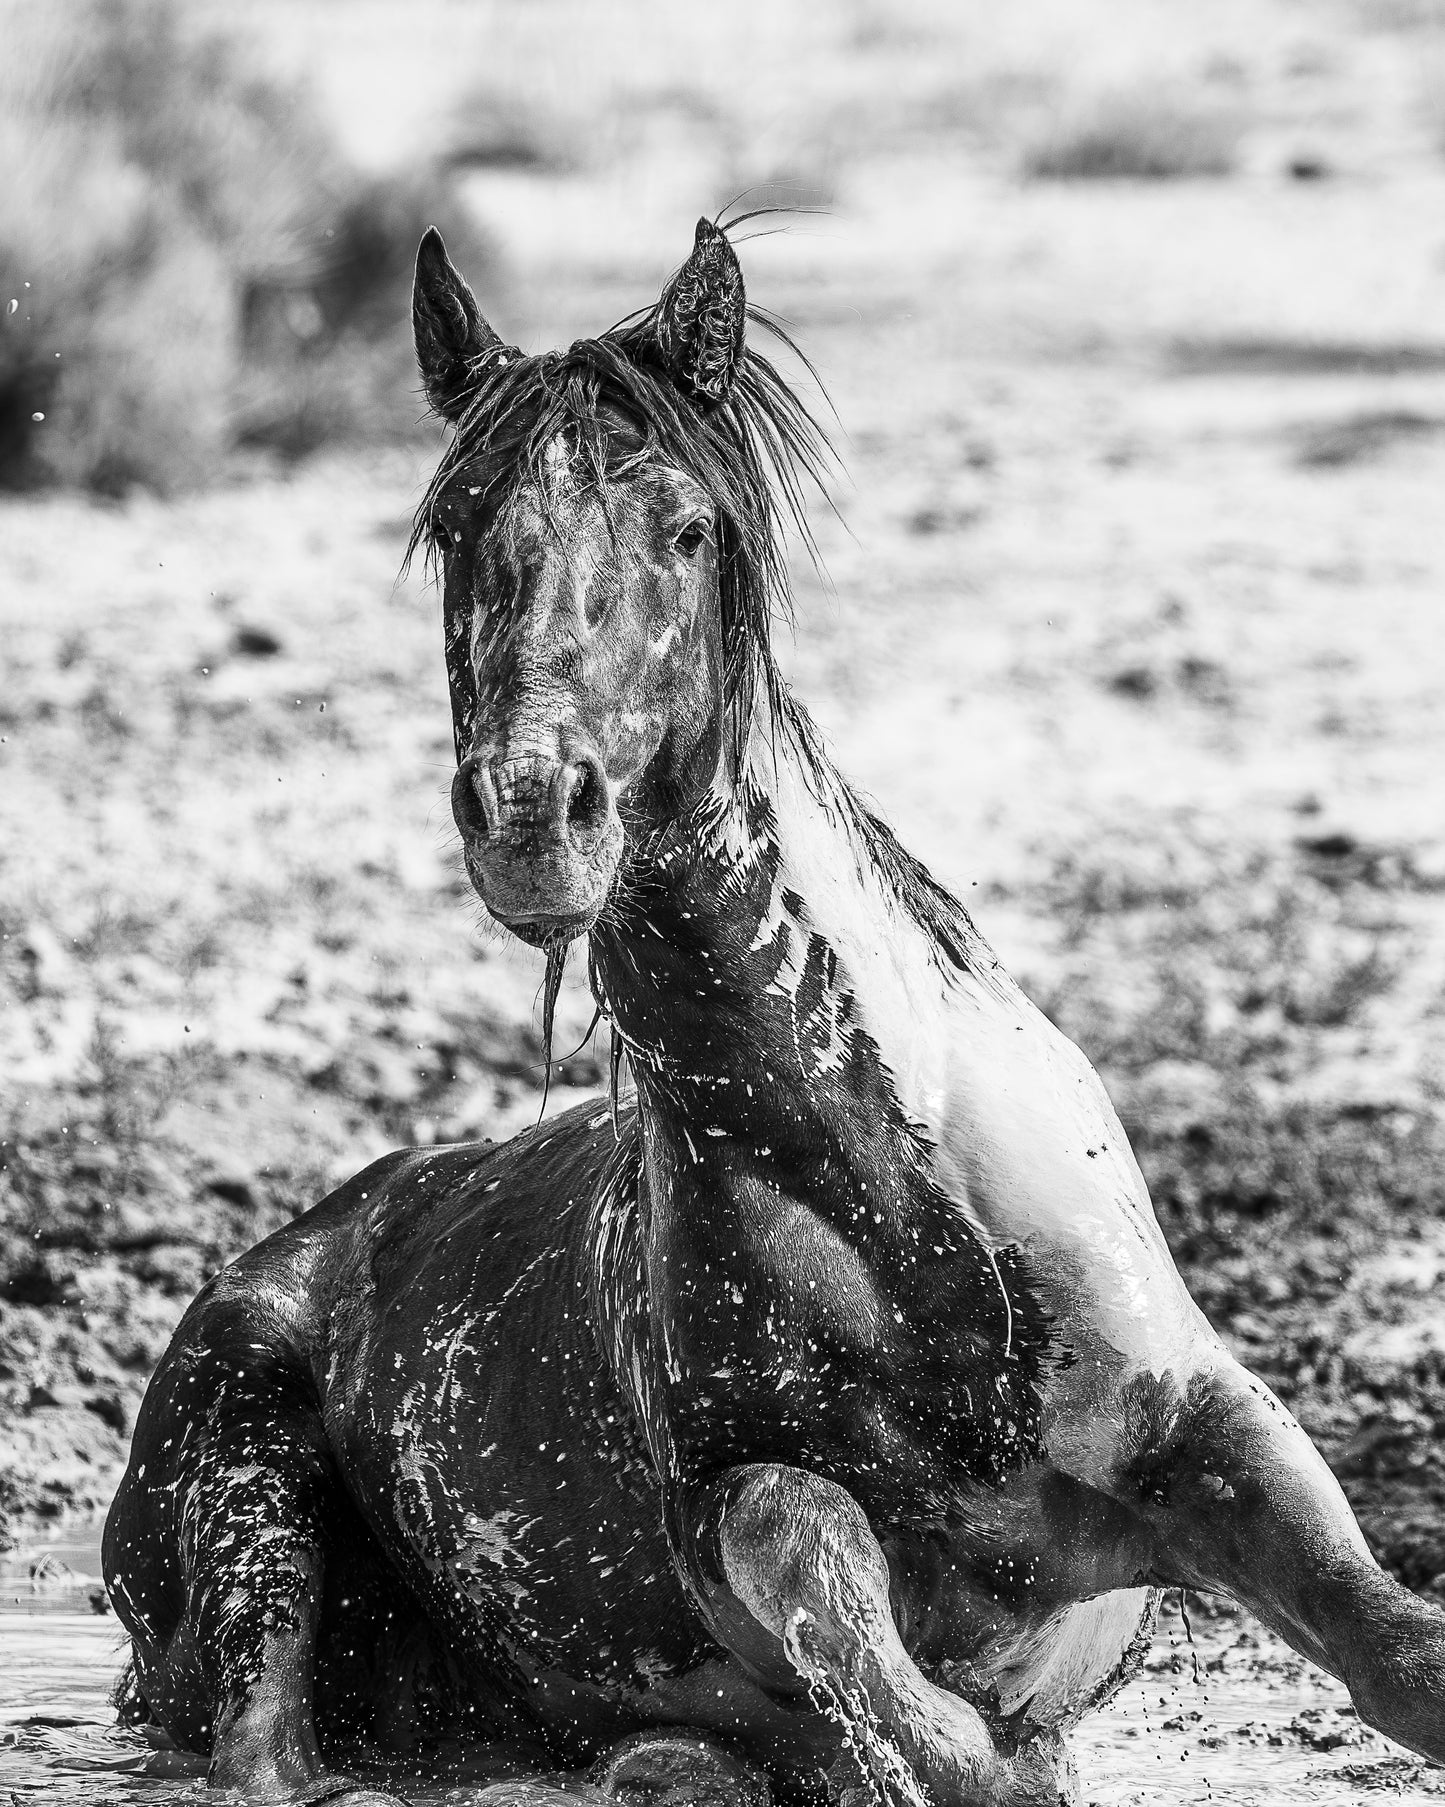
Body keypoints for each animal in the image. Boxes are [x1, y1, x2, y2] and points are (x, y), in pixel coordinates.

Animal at [103, 218, 1445, 1807]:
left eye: (687, 528)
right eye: (461, 527)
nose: (530, 814)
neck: (903, 1211)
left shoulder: (1204, 1424)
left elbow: (1394, 1649)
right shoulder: (736, 1505)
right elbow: (852, 1620)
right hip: (247, 1492)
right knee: (265, 1750)